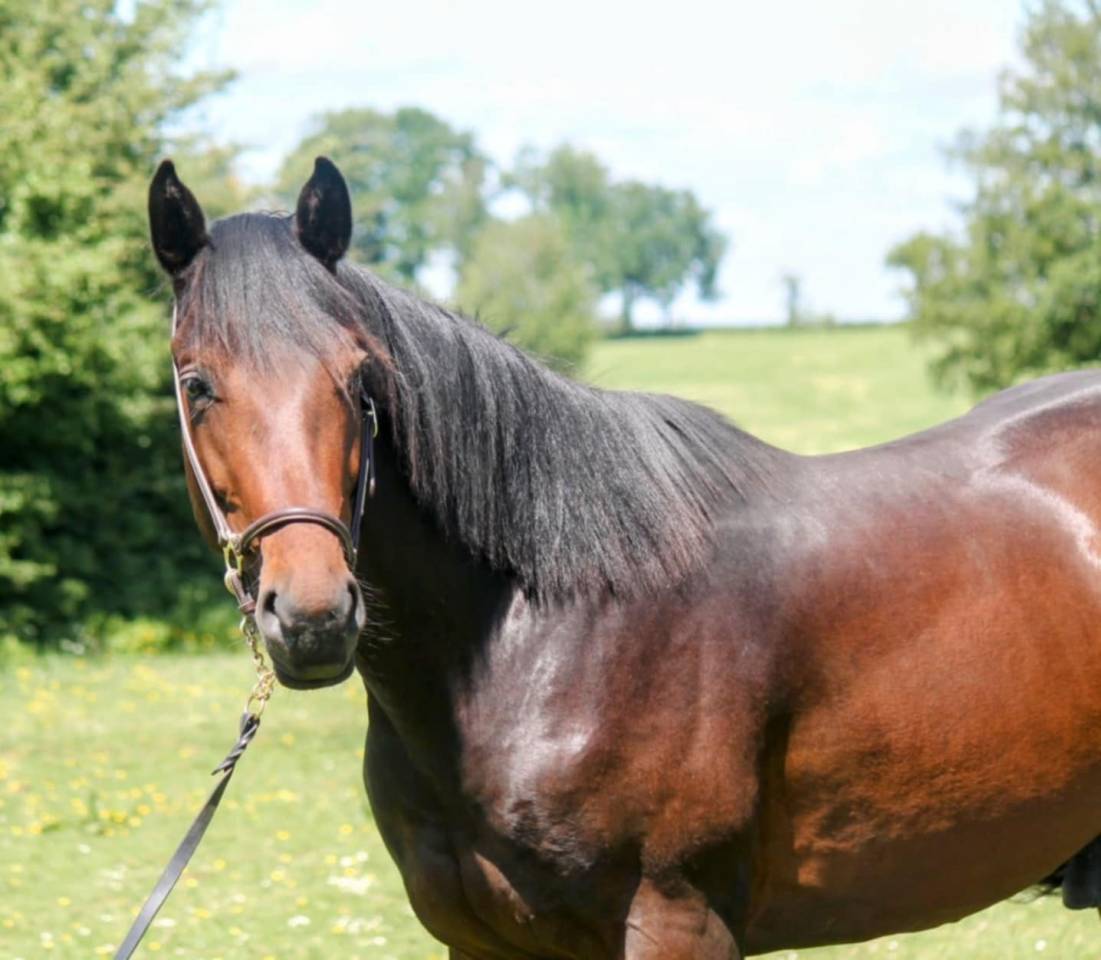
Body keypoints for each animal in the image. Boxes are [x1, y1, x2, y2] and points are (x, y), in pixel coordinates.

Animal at [147, 156, 1101, 958]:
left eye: (357, 380)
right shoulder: (481, 940)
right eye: (196, 383)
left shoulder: (677, 922)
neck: (546, 634)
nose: (313, 616)